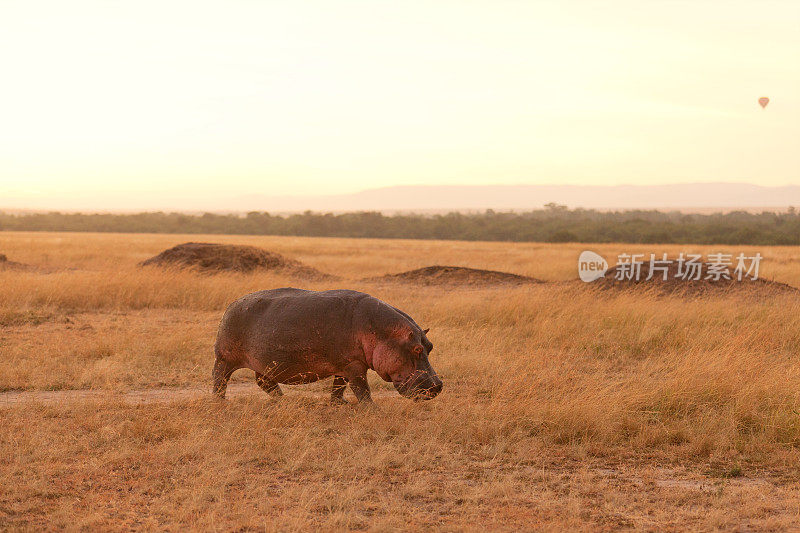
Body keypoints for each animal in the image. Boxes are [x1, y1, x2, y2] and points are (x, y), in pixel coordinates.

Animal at [211, 288, 444, 402]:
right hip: (225, 358)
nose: (437, 386)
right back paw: (220, 401)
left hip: (264, 363)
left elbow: (339, 386)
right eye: (417, 349)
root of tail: (231, 305)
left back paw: (283, 400)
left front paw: (338, 403)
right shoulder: (354, 365)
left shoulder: (344, 365)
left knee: (264, 382)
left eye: (430, 346)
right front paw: (372, 408)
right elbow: (362, 389)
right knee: (219, 379)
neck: (383, 332)